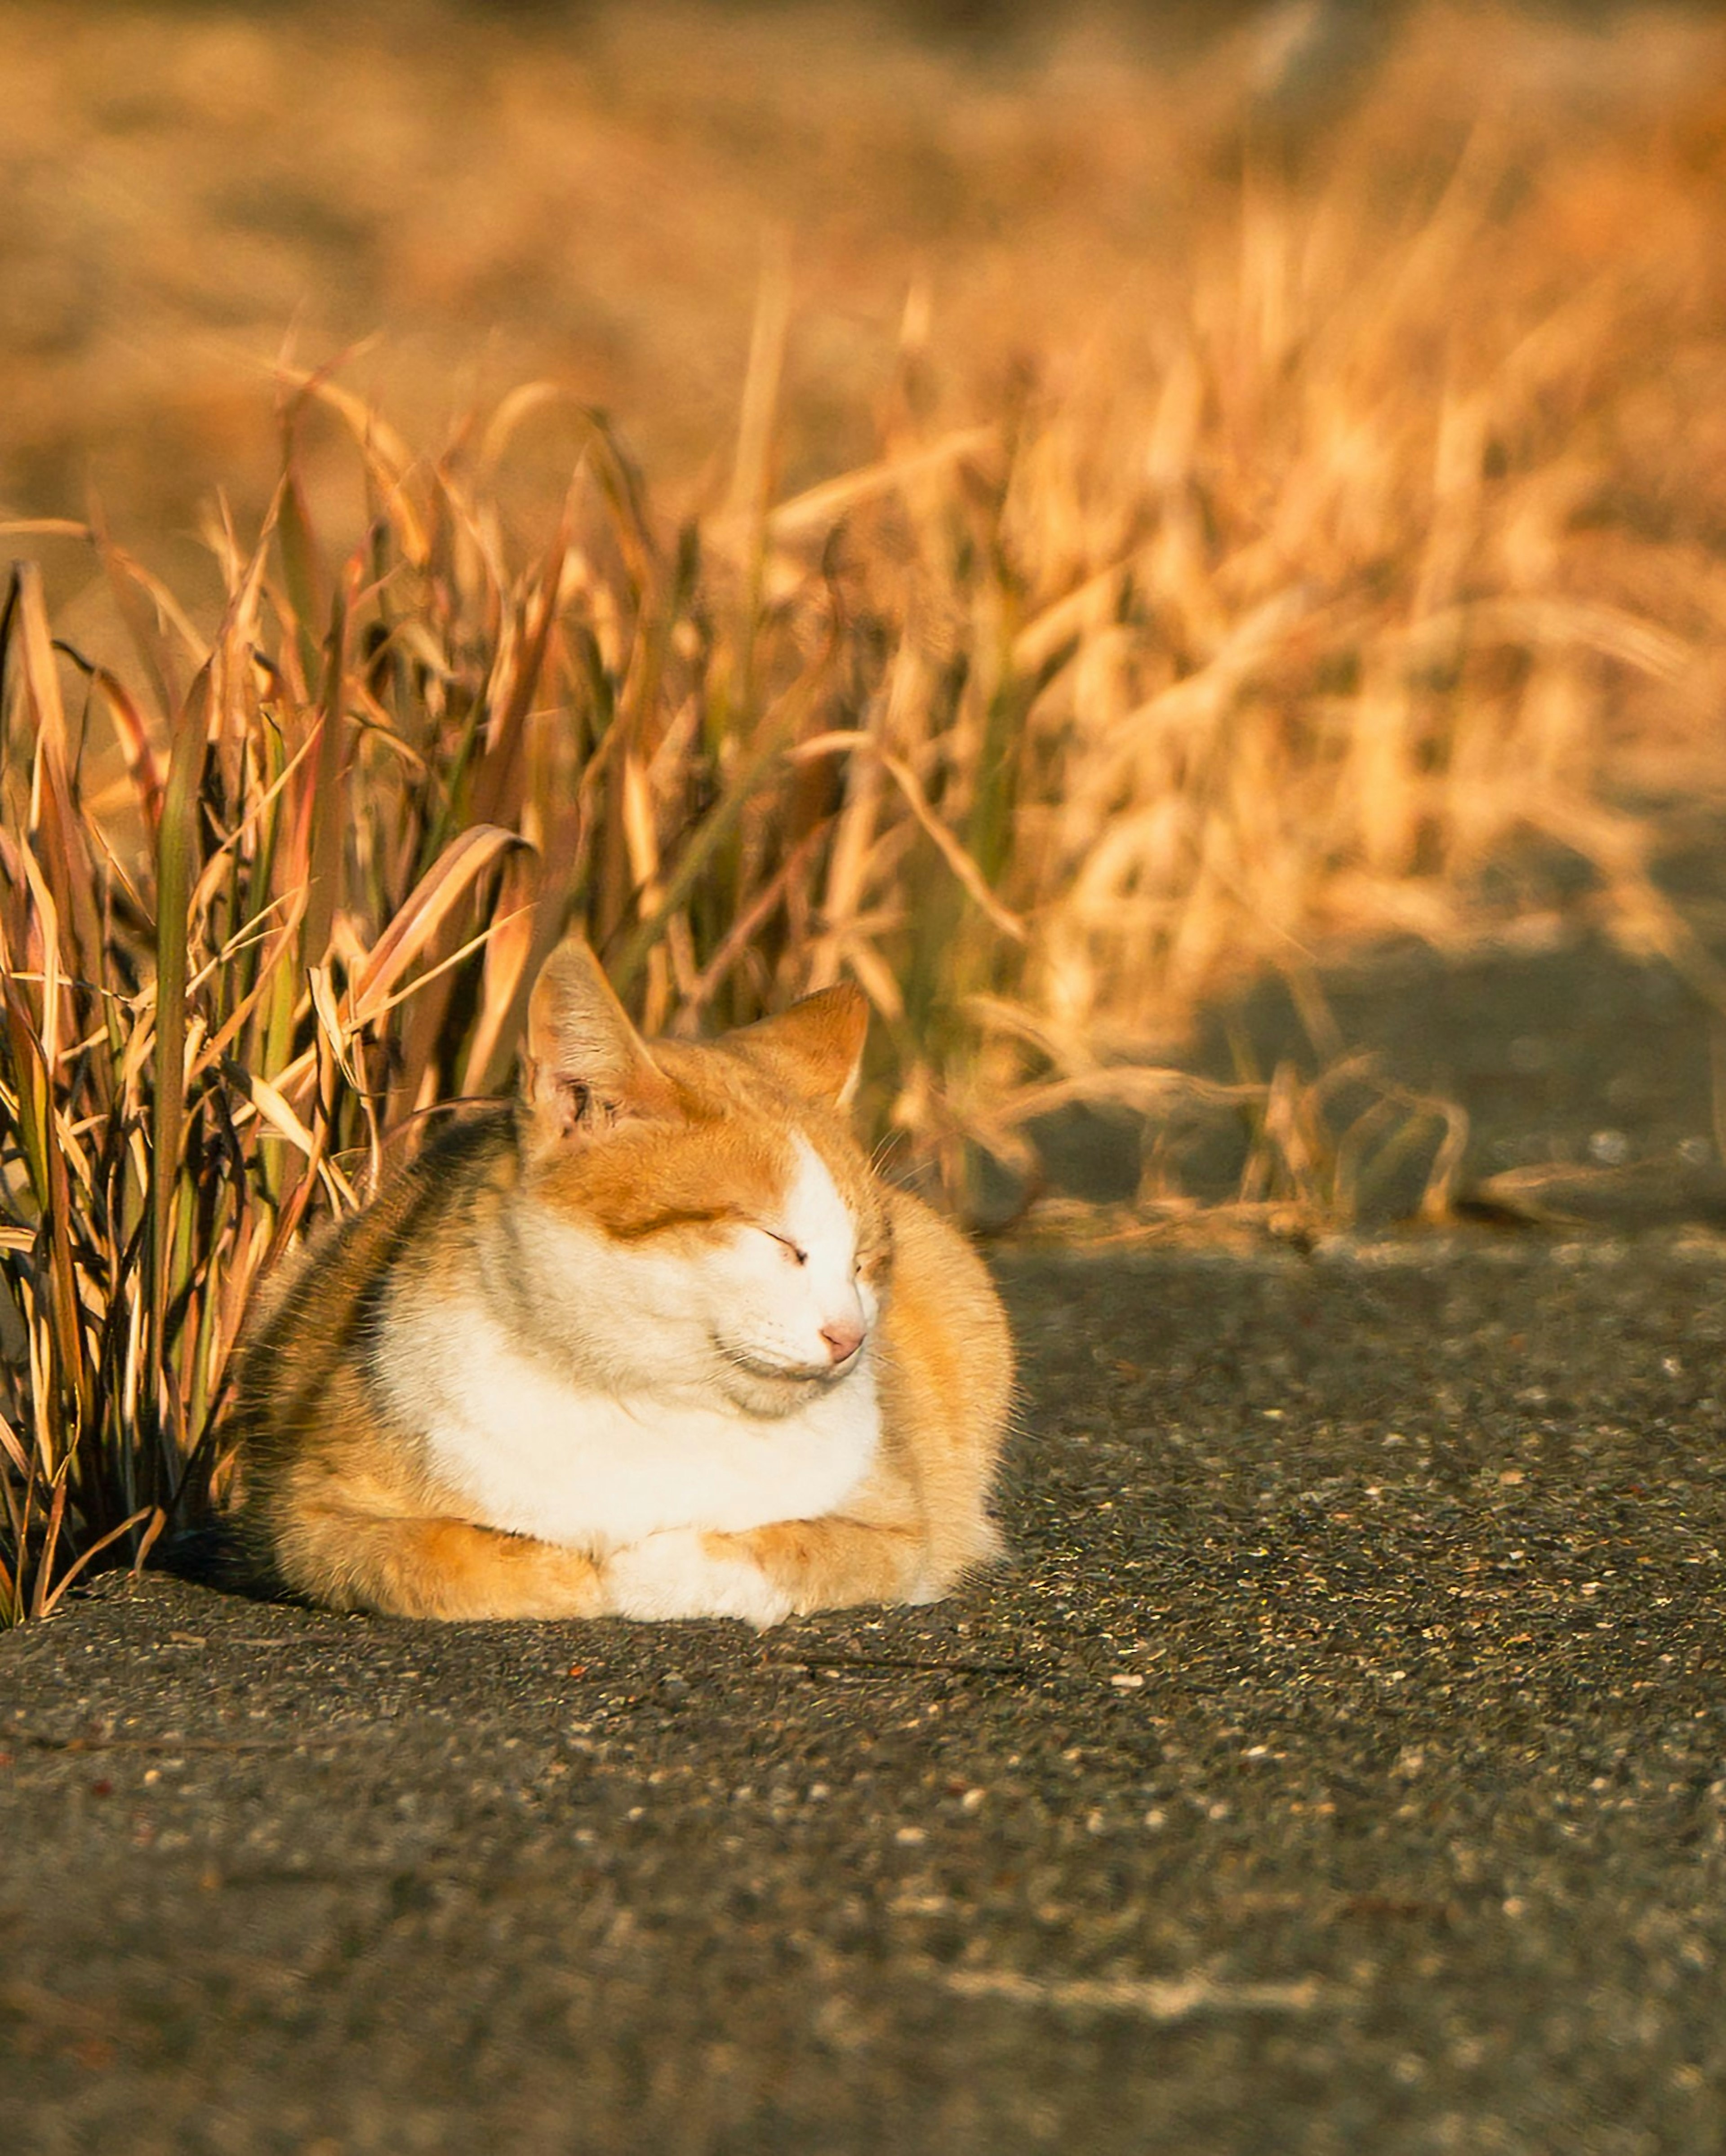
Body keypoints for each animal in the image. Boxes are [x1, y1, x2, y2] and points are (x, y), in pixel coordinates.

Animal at [228, 936, 1010, 1621]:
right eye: (776, 1240)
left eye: (865, 1259)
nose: (849, 1336)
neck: (646, 1403)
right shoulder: (312, 1520)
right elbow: (467, 1562)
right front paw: (580, 1569)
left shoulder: (899, 1532)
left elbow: (771, 1550)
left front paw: (656, 1567)